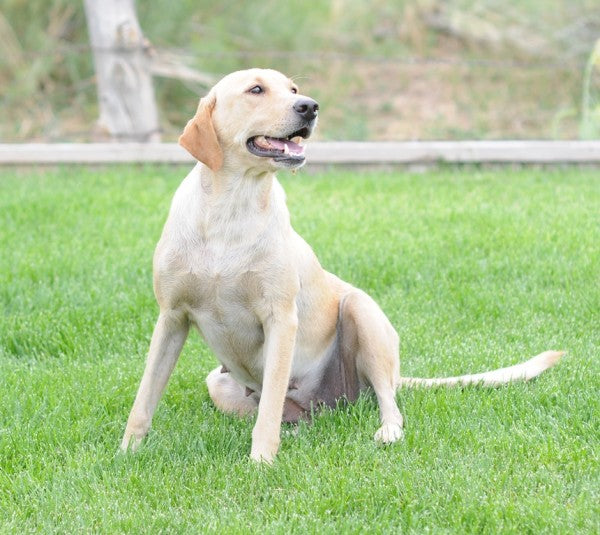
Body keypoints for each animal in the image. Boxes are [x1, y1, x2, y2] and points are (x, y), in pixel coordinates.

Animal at [120, 69, 564, 462]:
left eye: (293, 88)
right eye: (256, 89)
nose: (310, 106)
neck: (230, 210)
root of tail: (329, 401)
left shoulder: (281, 319)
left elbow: (267, 413)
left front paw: (261, 461)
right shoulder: (171, 318)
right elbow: (144, 398)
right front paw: (127, 452)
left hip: (361, 312)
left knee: (387, 402)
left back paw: (385, 430)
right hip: (219, 382)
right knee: (287, 415)